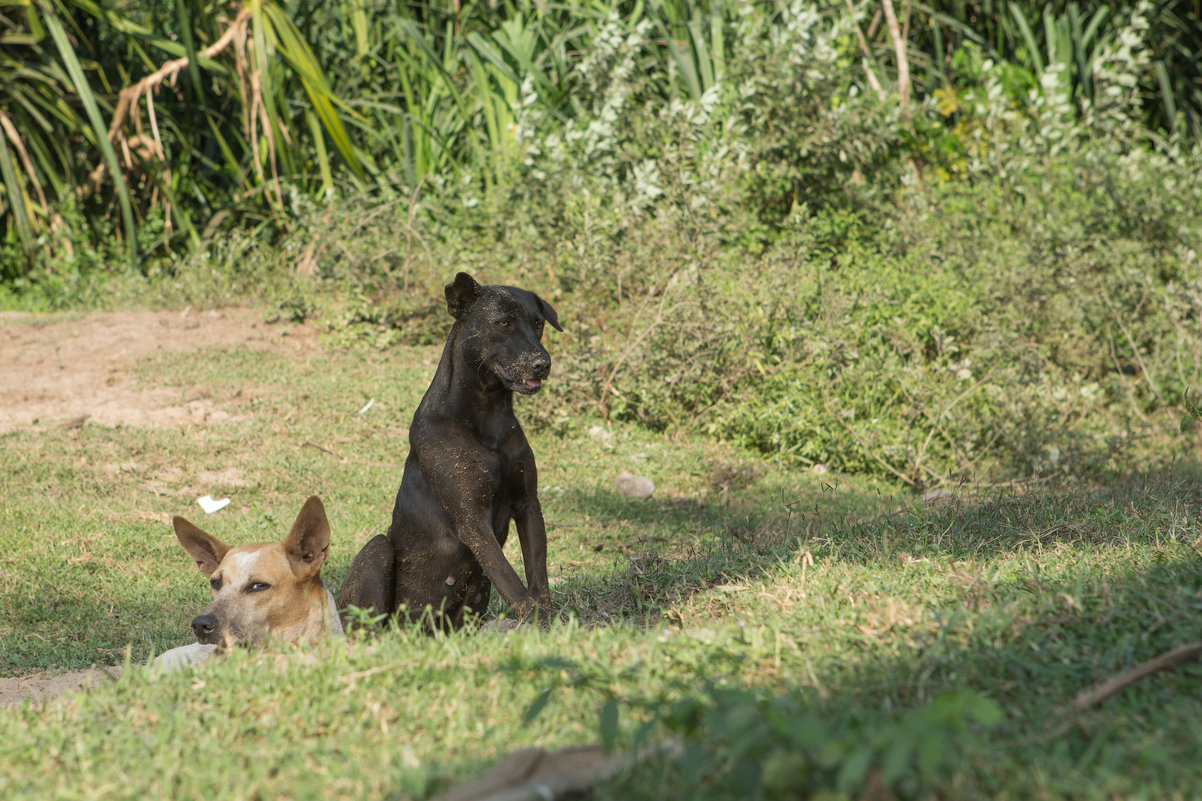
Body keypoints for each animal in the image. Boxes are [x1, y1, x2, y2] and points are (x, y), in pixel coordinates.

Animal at [336, 271, 560, 625]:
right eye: (503, 322)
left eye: (539, 324)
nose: (543, 363)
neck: (487, 414)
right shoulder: (473, 521)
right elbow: (512, 582)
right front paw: (539, 622)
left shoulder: (528, 504)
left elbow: (537, 576)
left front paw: (550, 621)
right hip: (376, 552)